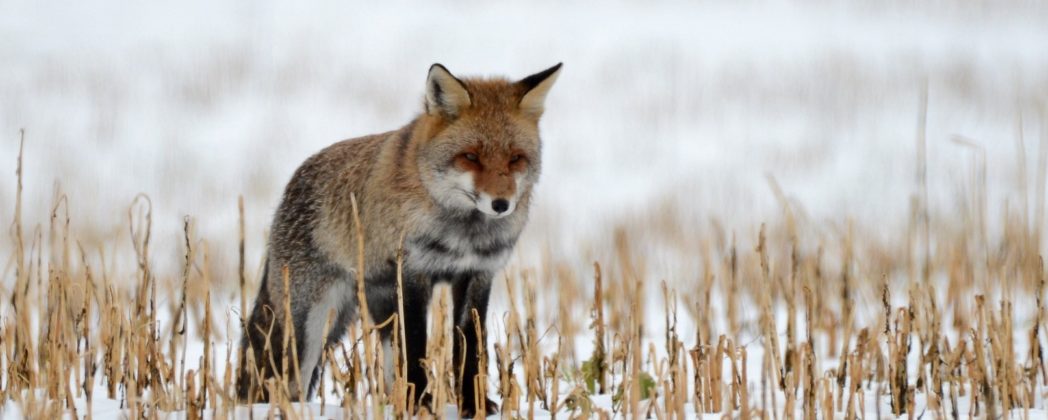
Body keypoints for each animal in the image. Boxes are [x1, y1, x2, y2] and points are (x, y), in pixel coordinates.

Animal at [237, 62, 562, 416]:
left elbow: (470, 348)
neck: (463, 234)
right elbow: (417, 342)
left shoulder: (477, 275)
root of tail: (294, 180)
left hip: (374, 309)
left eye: (516, 158)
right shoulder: (413, 272)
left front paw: (473, 405)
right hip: (312, 321)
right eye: (471, 157)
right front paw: (420, 403)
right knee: (289, 381)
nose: (501, 204)